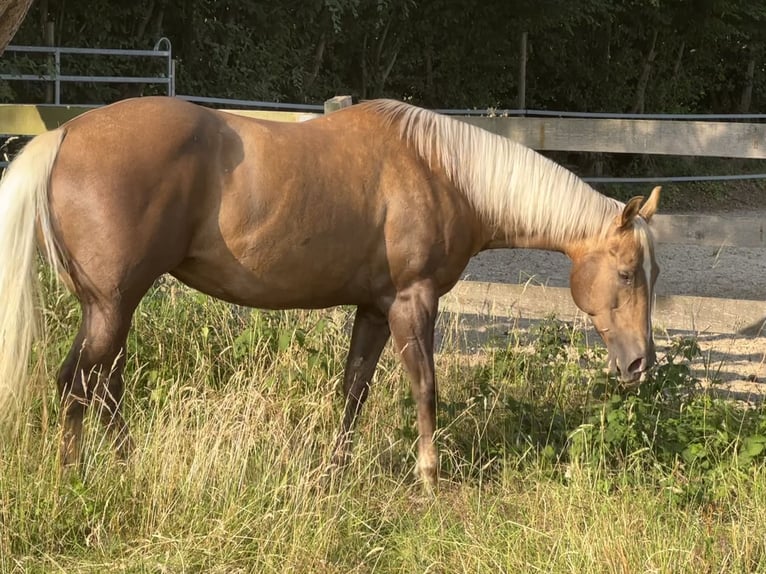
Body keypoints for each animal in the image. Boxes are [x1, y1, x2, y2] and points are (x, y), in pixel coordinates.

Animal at [0, 97, 660, 487]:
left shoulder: (374, 308)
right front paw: (429, 479)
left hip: (109, 309)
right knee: (77, 384)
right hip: (112, 306)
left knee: (102, 386)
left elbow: (353, 392)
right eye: (629, 272)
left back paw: (125, 468)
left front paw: (336, 474)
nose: (639, 365)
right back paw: (75, 481)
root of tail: (65, 134)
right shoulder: (412, 302)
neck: (441, 172)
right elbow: (425, 388)